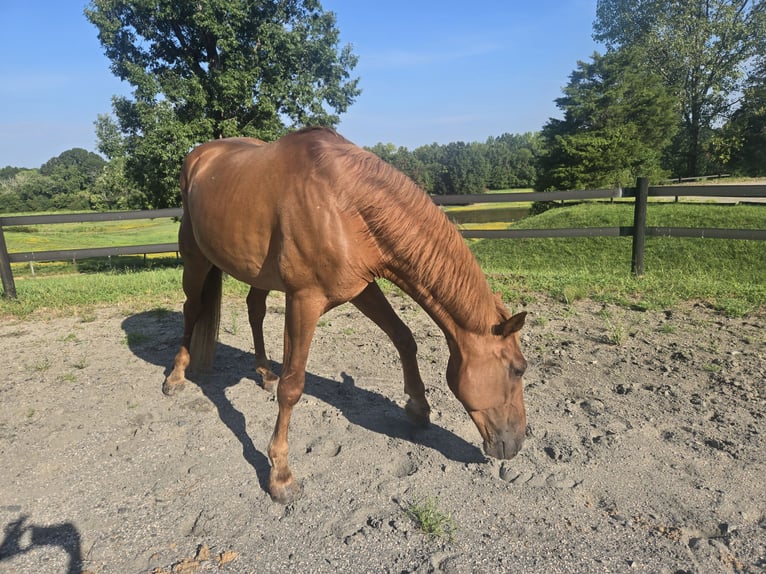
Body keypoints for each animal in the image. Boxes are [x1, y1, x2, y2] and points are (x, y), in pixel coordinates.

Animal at [164, 127, 528, 504]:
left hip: (257, 272)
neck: (344, 201)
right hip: (195, 259)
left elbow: (403, 338)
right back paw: (176, 376)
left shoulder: (362, 287)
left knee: (255, 310)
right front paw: (280, 474)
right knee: (192, 309)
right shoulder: (304, 300)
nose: (517, 442)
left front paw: (418, 407)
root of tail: (200, 156)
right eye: (518, 369)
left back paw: (264, 372)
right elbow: (293, 386)